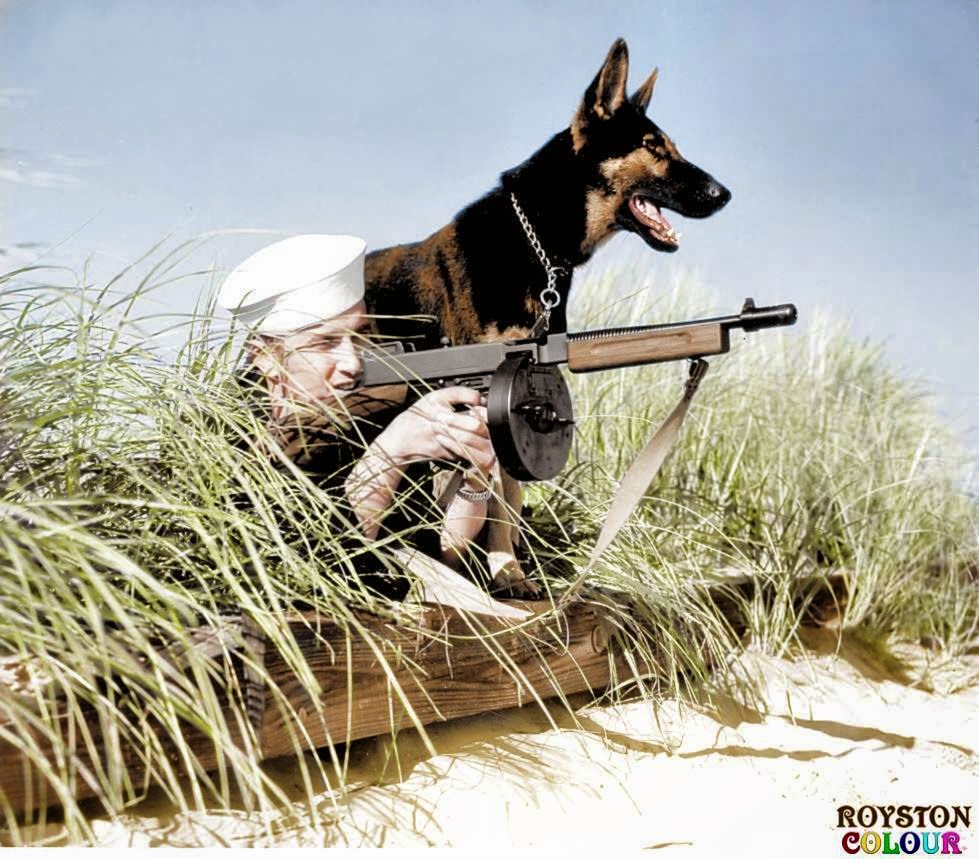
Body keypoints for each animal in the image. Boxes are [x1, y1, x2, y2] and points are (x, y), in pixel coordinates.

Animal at [364, 40, 732, 596]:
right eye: (652, 145)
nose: (723, 194)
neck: (536, 243)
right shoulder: (488, 396)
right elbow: (493, 487)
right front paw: (489, 570)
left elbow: (508, 498)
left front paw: (505, 568)